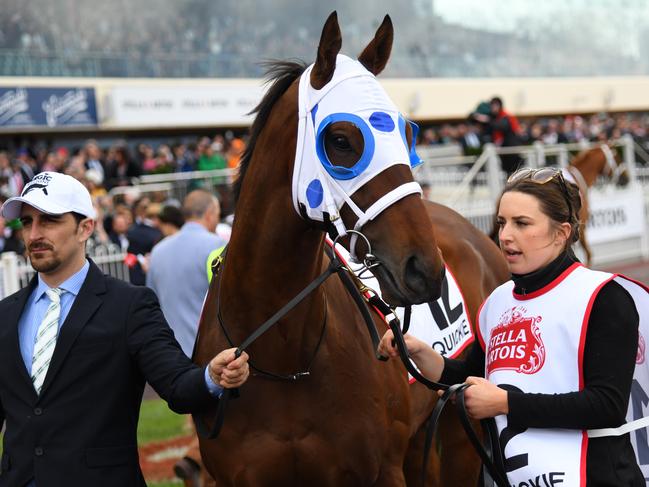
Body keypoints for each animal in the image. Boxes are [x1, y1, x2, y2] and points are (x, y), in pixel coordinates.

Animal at [190, 11, 508, 487]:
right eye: (340, 140)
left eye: (407, 131)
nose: (423, 270)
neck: (283, 359)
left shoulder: (382, 471)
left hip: (457, 428)